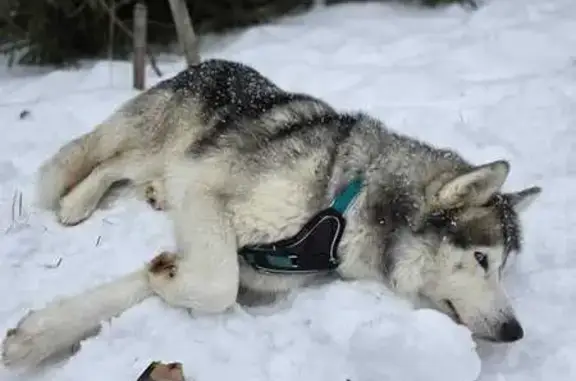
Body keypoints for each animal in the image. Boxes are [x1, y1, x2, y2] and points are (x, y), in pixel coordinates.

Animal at [1, 59, 540, 368]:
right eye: (481, 259)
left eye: (504, 269)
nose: (515, 331)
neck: (345, 203)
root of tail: (212, 61)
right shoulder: (203, 191)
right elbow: (217, 287)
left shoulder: (251, 262)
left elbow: (140, 288)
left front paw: (38, 337)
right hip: (164, 146)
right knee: (109, 164)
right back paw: (77, 202)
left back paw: (151, 194)